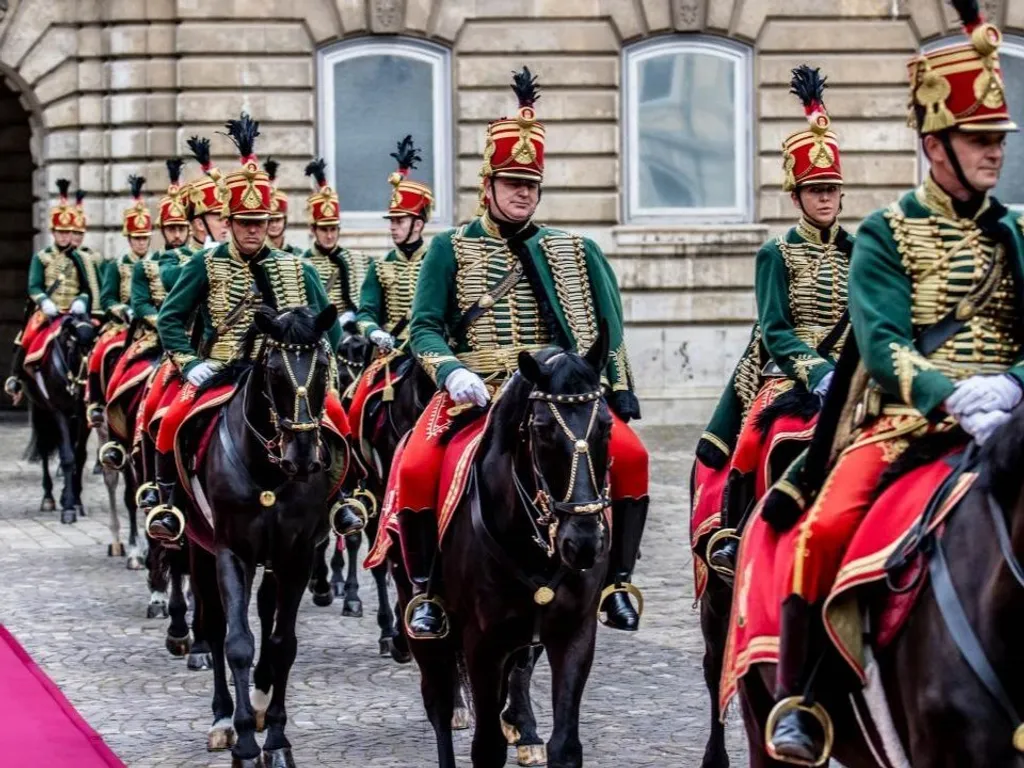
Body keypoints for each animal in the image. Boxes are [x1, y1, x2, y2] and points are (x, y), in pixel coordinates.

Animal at [21, 315, 96, 528]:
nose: (88, 386)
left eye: (95, 346)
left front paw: (75, 500)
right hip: (41, 412)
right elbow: (67, 456)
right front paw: (68, 509)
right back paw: (48, 497)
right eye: (75, 347)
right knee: (45, 449)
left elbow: (79, 456)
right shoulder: (58, 412)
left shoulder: (83, 416)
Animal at [188, 303, 352, 765]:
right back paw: (223, 718)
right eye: (275, 371)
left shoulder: (296, 556)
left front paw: (277, 739)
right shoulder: (231, 552)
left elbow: (282, 643)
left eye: (322, 369)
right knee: (214, 624)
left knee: (264, 610)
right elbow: (237, 642)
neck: (268, 472)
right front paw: (245, 743)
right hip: (200, 548)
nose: (303, 458)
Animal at [395, 339, 610, 768]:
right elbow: (486, 748)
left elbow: (565, 745)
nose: (583, 543)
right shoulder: (483, 643)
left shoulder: (574, 633)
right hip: (424, 624)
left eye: (607, 426)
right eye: (541, 430)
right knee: (438, 705)